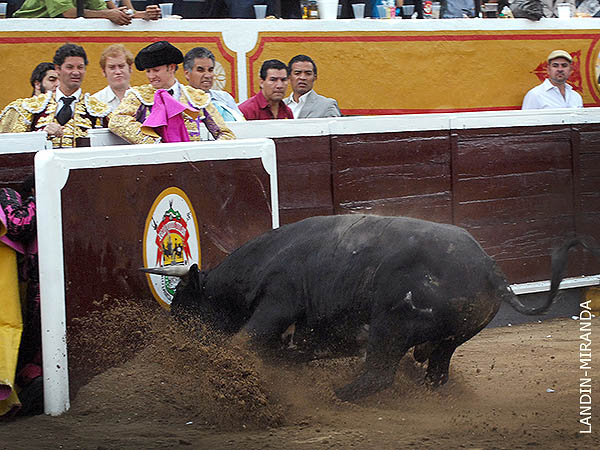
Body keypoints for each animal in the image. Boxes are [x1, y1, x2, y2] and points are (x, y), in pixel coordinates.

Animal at [143, 214, 592, 400]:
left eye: (184, 303)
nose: (174, 340)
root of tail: (490, 269)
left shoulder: (277, 303)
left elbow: (246, 342)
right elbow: (294, 349)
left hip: (389, 326)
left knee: (378, 374)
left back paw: (337, 394)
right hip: (449, 340)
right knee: (436, 371)